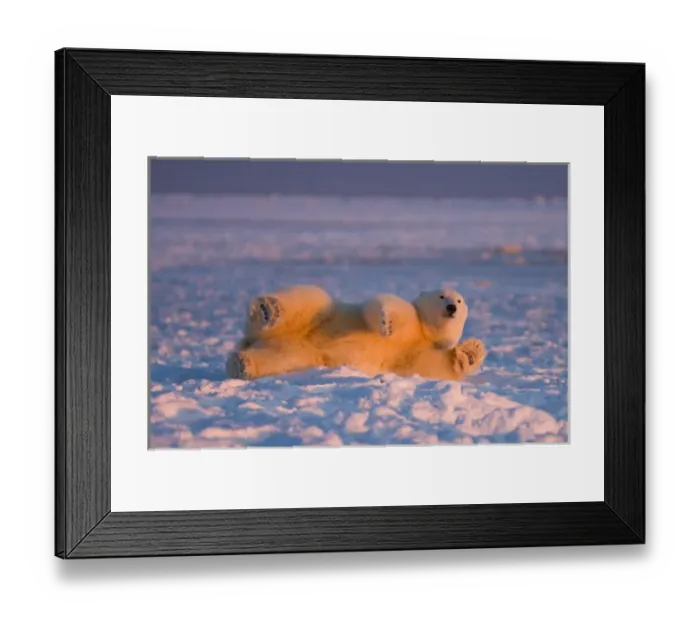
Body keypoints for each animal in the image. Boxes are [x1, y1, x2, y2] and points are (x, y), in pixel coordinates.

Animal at [226, 285, 487, 382]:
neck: (424, 332)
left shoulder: (413, 354)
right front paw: (387, 324)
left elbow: (434, 365)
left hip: (299, 351)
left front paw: (471, 352)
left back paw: (242, 364)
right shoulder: (413, 320)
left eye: (460, 300)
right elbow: (385, 306)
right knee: (311, 299)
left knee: (279, 357)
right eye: (442, 296)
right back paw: (267, 310)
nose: (452, 307)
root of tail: (251, 338)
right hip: (318, 316)